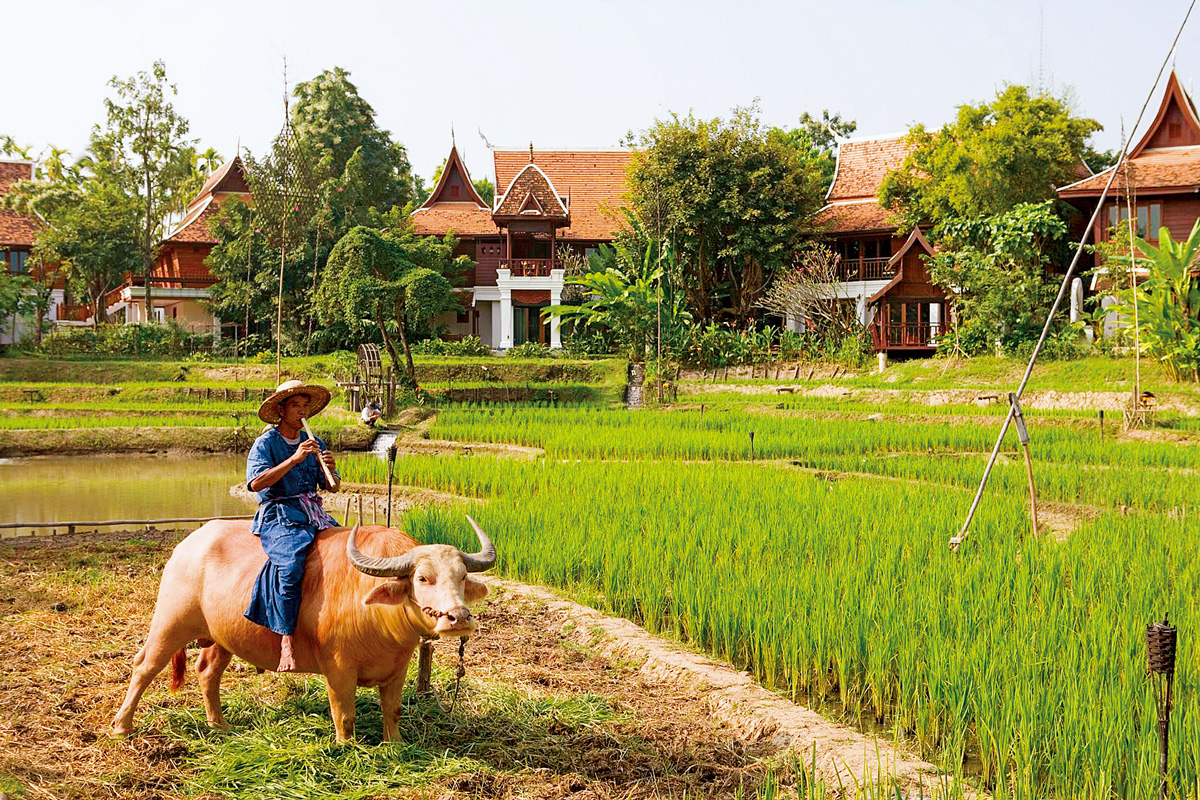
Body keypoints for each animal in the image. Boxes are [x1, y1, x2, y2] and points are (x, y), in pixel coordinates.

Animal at [108, 515, 492, 743]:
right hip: (170, 622)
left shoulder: (398, 668)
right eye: (423, 578)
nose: (459, 618)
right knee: (144, 667)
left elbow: (392, 710)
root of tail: (188, 543)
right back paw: (122, 727)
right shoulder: (338, 668)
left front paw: (394, 744)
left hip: (222, 637)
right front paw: (346, 746)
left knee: (207, 671)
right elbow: (344, 713)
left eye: (461, 576)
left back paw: (220, 724)